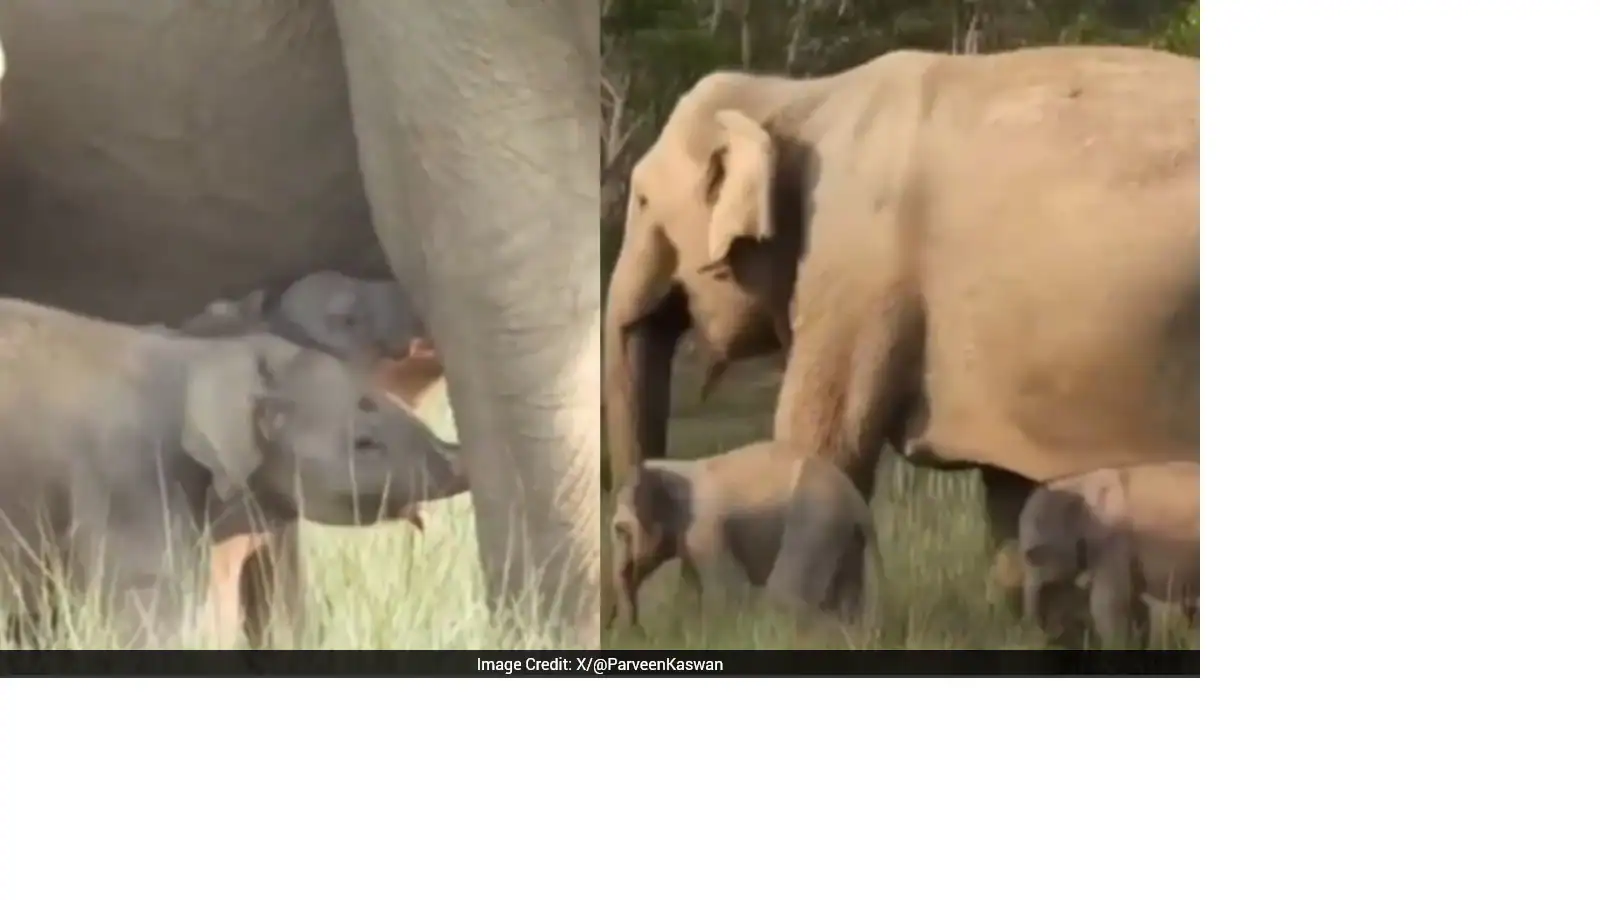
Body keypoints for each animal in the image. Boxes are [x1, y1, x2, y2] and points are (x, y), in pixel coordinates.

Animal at [607, 441, 879, 630]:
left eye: (620, 531)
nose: (636, 632)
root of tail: (859, 505)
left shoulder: (706, 528)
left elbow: (729, 590)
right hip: (845, 537)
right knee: (848, 598)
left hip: (816, 520)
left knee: (785, 594)